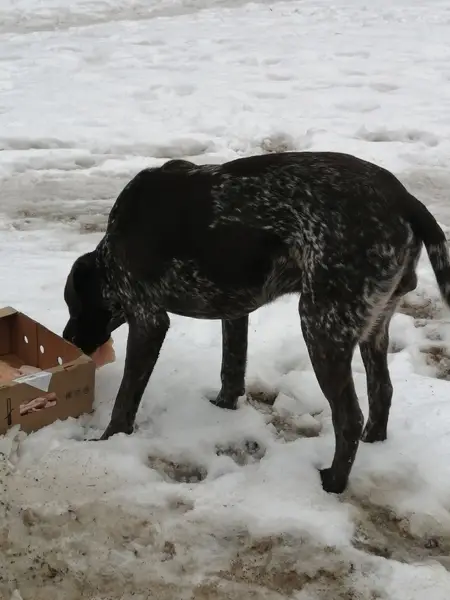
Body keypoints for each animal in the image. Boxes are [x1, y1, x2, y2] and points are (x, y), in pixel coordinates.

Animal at [62, 151, 450, 494]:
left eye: (73, 306)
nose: (68, 339)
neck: (112, 250)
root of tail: (405, 200)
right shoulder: (234, 312)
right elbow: (231, 370)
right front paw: (222, 408)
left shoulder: (148, 320)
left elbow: (126, 398)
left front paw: (107, 440)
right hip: (372, 328)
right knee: (382, 391)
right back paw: (374, 443)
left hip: (321, 326)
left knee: (349, 418)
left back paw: (333, 484)